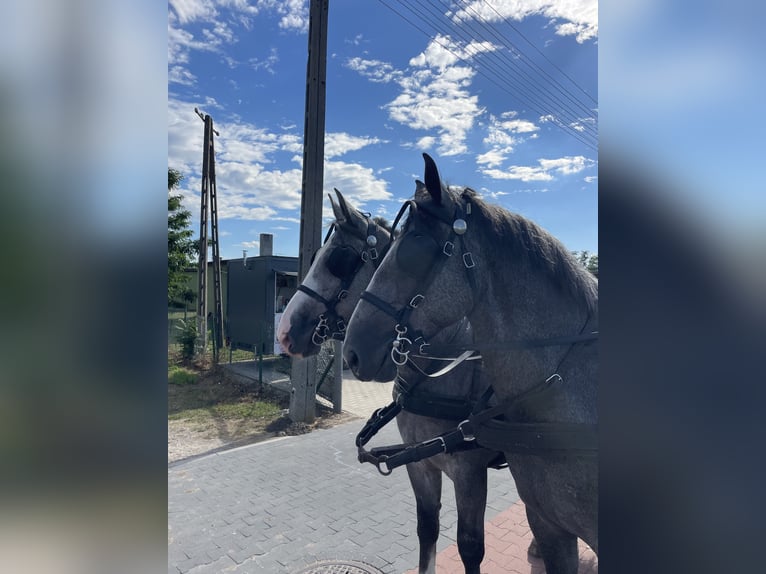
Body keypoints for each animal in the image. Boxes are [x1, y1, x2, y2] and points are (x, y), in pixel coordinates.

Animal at [278, 191, 520, 572]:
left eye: (339, 259)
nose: (285, 332)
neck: (442, 370)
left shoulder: (469, 473)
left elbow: (470, 547)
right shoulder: (420, 464)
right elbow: (427, 529)